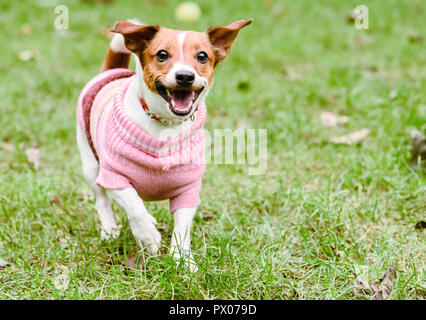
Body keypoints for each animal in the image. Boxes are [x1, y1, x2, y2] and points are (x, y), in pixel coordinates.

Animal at [76, 18, 251, 272]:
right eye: (161, 54)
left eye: (202, 56)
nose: (185, 76)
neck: (165, 124)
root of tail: (112, 71)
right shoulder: (114, 178)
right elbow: (134, 205)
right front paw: (148, 237)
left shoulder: (188, 189)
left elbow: (182, 227)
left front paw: (182, 260)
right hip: (91, 166)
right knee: (102, 200)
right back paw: (109, 230)